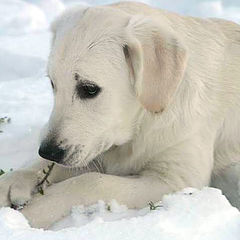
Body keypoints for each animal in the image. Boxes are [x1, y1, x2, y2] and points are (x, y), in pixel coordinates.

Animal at [0, 0, 240, 228]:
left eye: (89, 89)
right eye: (53, 84)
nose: (48, 151)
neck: (142, 123)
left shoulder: (177, 179)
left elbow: (93, 181)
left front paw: (34, 212)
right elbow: (40, 167)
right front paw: (10, 183)